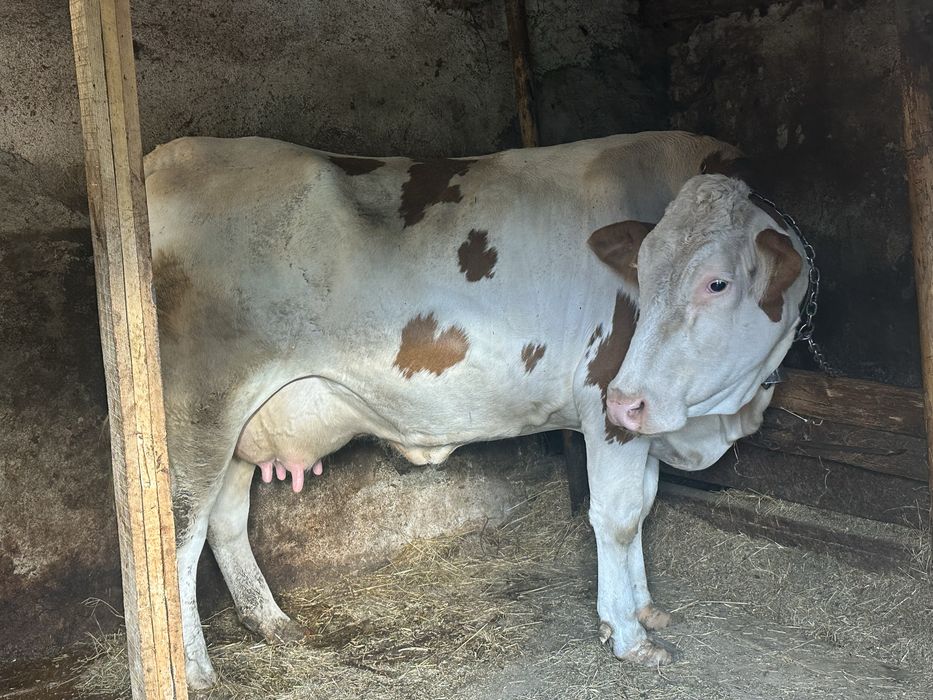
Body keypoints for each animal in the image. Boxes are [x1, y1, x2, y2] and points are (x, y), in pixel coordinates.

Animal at [144, 130, 808, 689]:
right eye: (641, 274)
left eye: (717, 283)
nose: (631, 398)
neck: (719, 415)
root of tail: (161, 159)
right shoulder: (608, 404)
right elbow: (617, 517)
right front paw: (628, 636)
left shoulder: (641, 421)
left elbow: (644, 506)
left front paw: (645, 610)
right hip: (199, 408)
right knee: (179, 531)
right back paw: (194, 672)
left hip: (243, 424)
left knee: (226, 521)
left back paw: (271, 623)